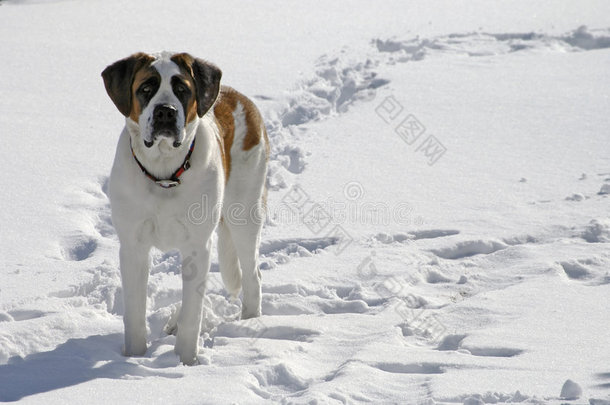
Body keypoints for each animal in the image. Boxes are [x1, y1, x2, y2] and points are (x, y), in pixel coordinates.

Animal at [101, 52, 268, 364]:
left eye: (182, 89)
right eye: (146, 88)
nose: (165, 111)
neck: (165, 174)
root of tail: (237, 96)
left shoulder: (197, 244)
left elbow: (194, 313)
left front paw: (186, 362)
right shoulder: (133, 247)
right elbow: (134, 313)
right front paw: (133, 357)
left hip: (245, 213)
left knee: (252, 276)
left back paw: (249, 325)